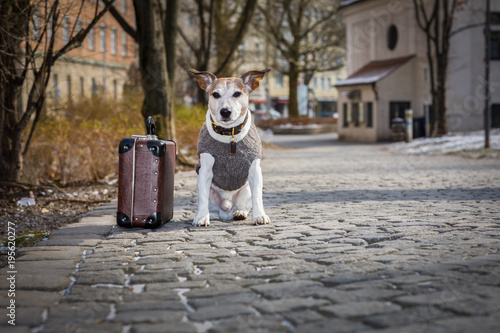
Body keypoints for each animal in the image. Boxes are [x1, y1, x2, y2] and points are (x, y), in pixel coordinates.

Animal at [188, 67, 274, 226]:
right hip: (210, 192)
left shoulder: (254, 170)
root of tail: (226, 211)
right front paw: (202, 217)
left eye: (237, 93)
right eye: (216, 94)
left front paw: (260, 215)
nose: (225, 111)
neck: (229, 134)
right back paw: (210, 215)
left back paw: (239, 213)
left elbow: (257, 197)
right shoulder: (205, 171)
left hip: (246, 191)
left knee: (243, 206)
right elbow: (202, 198)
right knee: (210, 205)